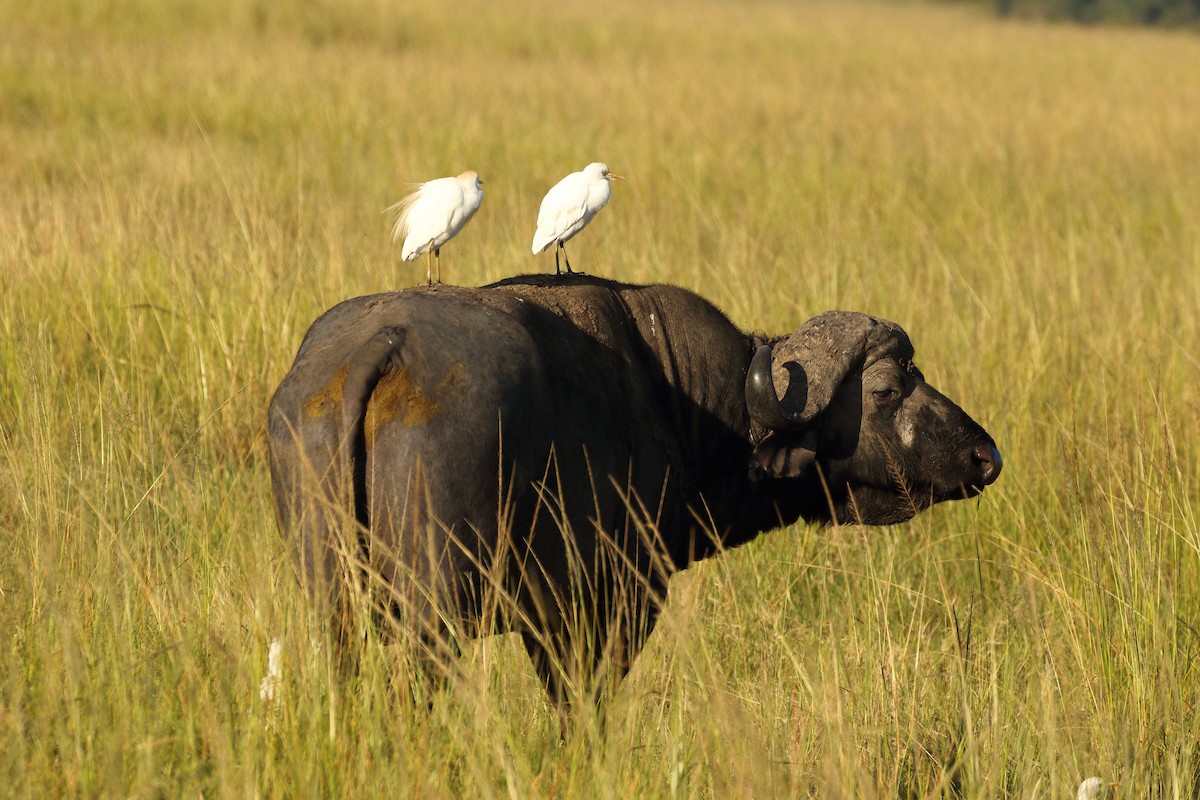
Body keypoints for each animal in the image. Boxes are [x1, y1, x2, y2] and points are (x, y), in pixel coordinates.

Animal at [267, 274, 1002, 706]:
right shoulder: (611, 607)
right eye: (886, 390)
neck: (678, 396)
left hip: (336, 603)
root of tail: (385, 344)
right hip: (432, 617)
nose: (985, 455)